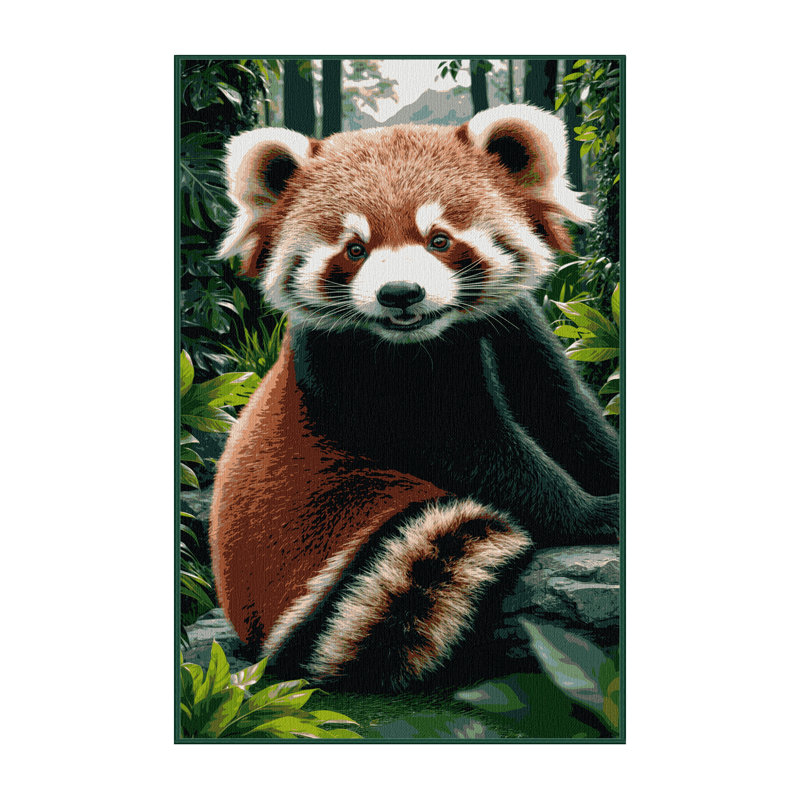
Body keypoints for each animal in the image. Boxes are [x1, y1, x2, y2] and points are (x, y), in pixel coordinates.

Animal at [209, 104, 620, 691]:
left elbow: (567, 415)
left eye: (439, 240)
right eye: (355, 249)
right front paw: (596, 514)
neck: (429, 337)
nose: (400, 294)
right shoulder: (356, 368)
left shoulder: (515, 329)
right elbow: (471, 450)